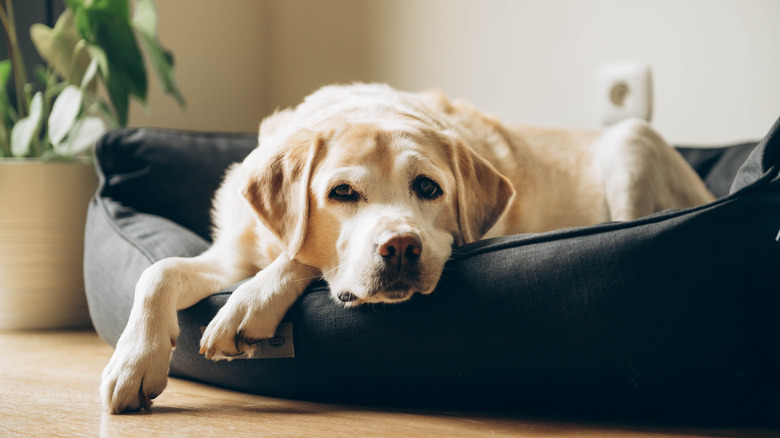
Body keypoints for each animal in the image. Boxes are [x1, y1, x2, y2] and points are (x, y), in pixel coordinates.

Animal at [100, 83, 716, 414]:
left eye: (428, 188)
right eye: (341, 193)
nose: (399, 247)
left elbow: (300, 258)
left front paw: (249, 304)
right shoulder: (230, 254)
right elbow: (158, 272)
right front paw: (133, 361)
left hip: (632, 141)